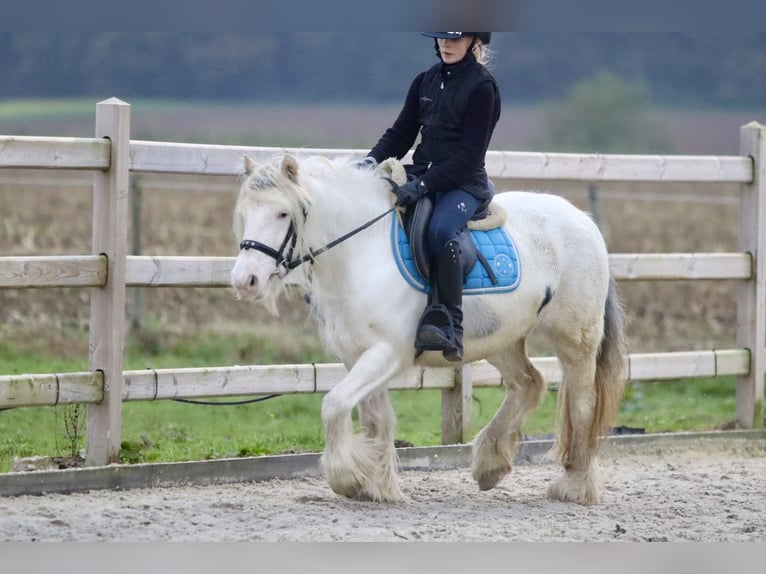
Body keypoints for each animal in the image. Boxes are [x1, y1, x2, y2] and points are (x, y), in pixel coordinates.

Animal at [231, 154, 628, 508]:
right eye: (246, 214)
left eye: (283, 213)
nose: (245, 281)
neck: (361, 253)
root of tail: (583, 220)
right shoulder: (357, 354)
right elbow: (376, 420)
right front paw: (377, 485)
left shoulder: (388, 352)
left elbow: (335, 404)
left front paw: (348, 478)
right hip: (501, 338)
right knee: (529, 383)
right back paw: (491, 465)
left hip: (576, 338)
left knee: (582, 404)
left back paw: (576, 487)